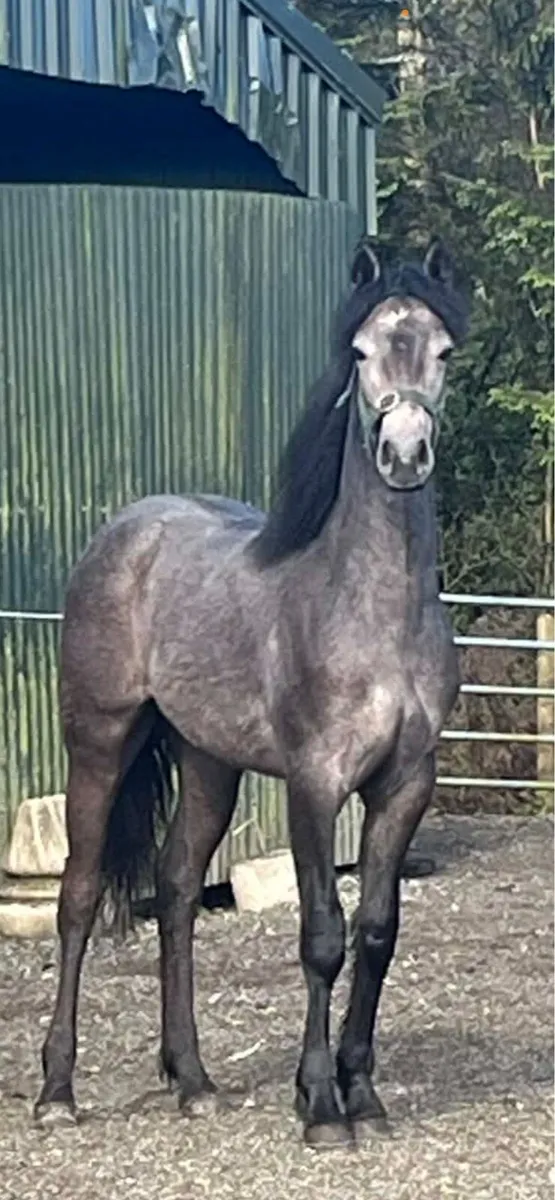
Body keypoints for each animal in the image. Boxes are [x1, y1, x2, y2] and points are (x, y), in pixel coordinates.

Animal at [34, 235, 470, 1148]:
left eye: (443, 352)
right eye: (358, 352)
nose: (403, 454)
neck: (369, 608)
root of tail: (126, 532)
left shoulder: (404, 785)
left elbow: (376, 932)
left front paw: (363, 1094)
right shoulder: (314, 782)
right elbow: (322, 935)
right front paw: (320, 1107)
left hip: (208, 761)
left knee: (174, 891)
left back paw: (193, 1080)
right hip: (99, 740)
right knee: (79, 895)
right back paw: (56, 1091)